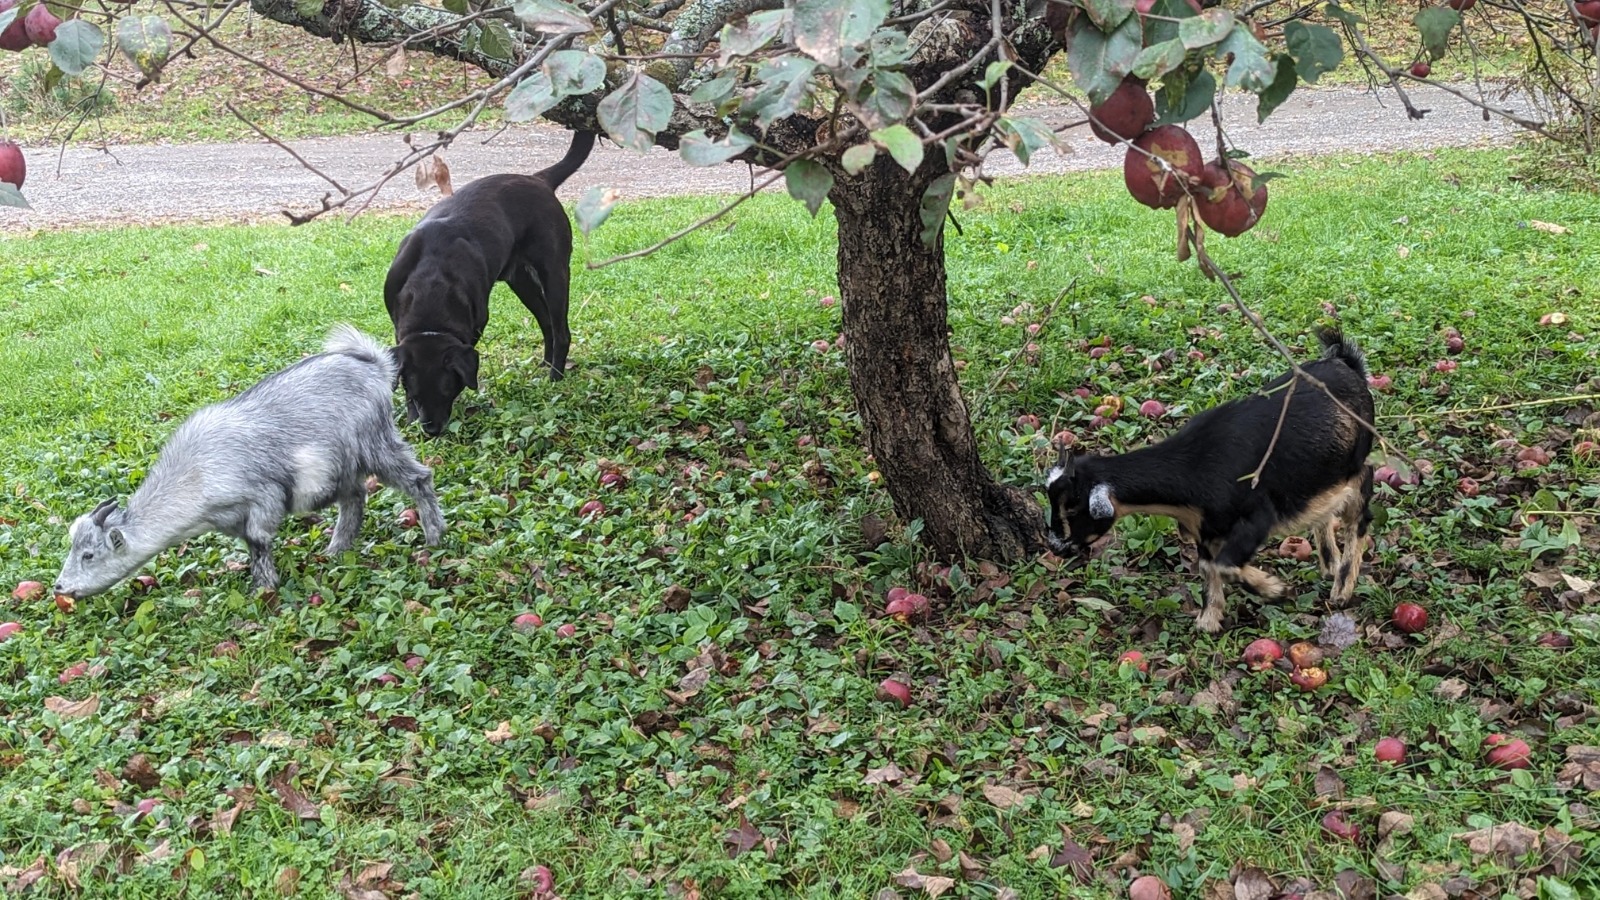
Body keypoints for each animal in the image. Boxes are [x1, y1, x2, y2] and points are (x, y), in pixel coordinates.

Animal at [54, 321, 448, 595]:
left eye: (89, 555)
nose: (60, 587)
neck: (196, 473)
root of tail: (373, 366)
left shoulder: (263, 499)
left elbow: (259, 541)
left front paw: (264, 587)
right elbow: (251, 545)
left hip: (376, 444)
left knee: (418, 478)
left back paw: (434, 538)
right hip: (341, 471)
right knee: (355, 498)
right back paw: (336, 551)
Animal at [384, 128, 598, 432]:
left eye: (450, 390)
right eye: (412, 392)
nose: (431, 431)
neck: (430, 284)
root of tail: (538, 180)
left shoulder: (476, 323)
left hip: (554, 272)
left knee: (561, 331)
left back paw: (555, 376)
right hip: (521, 281)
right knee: (546, 322)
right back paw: (545, 365)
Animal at [1049, 329, 1376, 630]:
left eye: (1072, 507)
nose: (1055, 547)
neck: (1192, 467)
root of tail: (1345, 363)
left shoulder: (1257, 517)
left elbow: (1225, 565)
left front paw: (1276, 590)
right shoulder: (1205, 530)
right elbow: (1208, 567)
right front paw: (1209, 620)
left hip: (1356, 463)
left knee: (1360, 508)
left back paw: (1342, 588)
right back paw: (1330, 564)